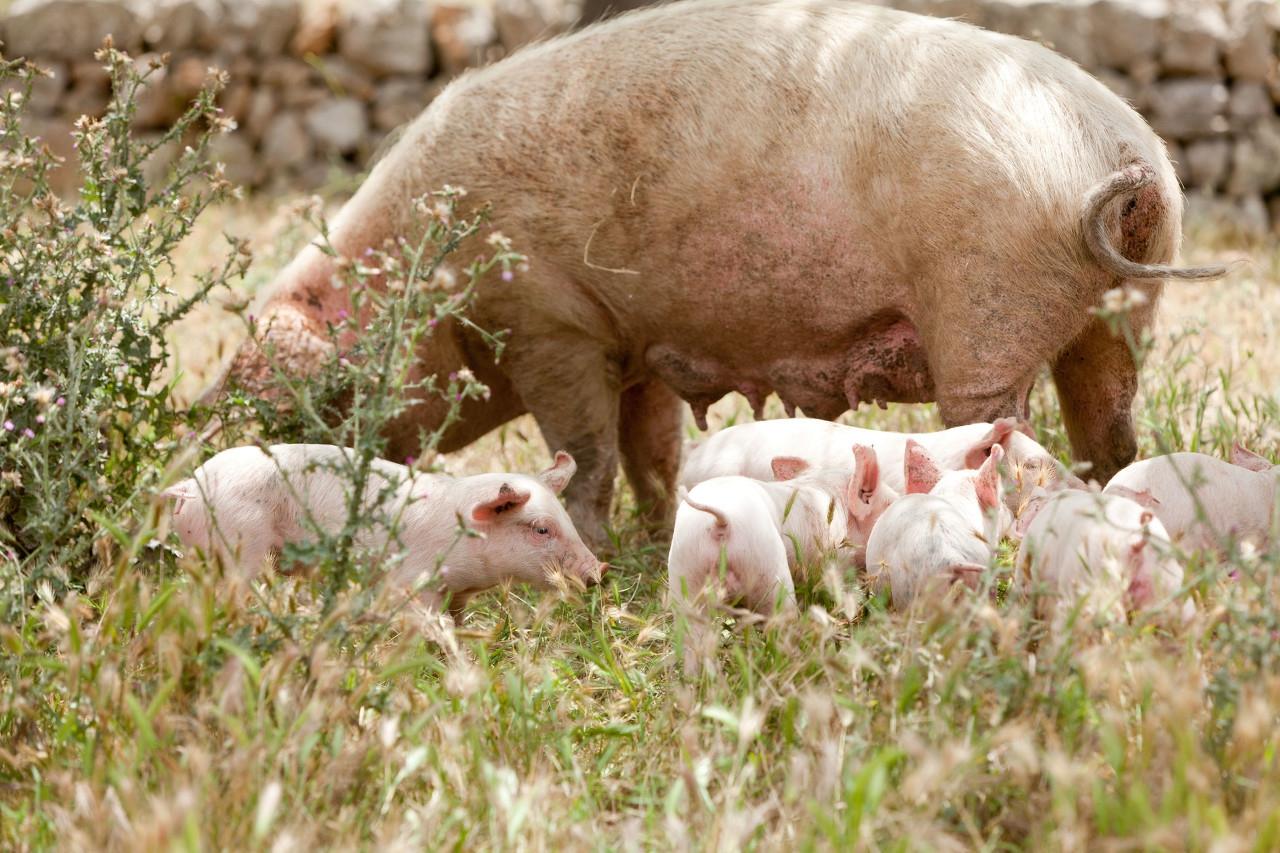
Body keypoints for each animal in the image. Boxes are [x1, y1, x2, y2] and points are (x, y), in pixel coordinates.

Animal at [212, 0, 1228, 540]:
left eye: (334, 396)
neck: (435, 267)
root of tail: (1126, 160)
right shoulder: (633, 341)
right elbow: (650, 448)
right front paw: (663, 530)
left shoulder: (550, 323)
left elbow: (585, 451)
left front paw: (590, 541)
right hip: (1116, 314)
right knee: (1110, 428)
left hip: (986, 310)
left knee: (999, 429)